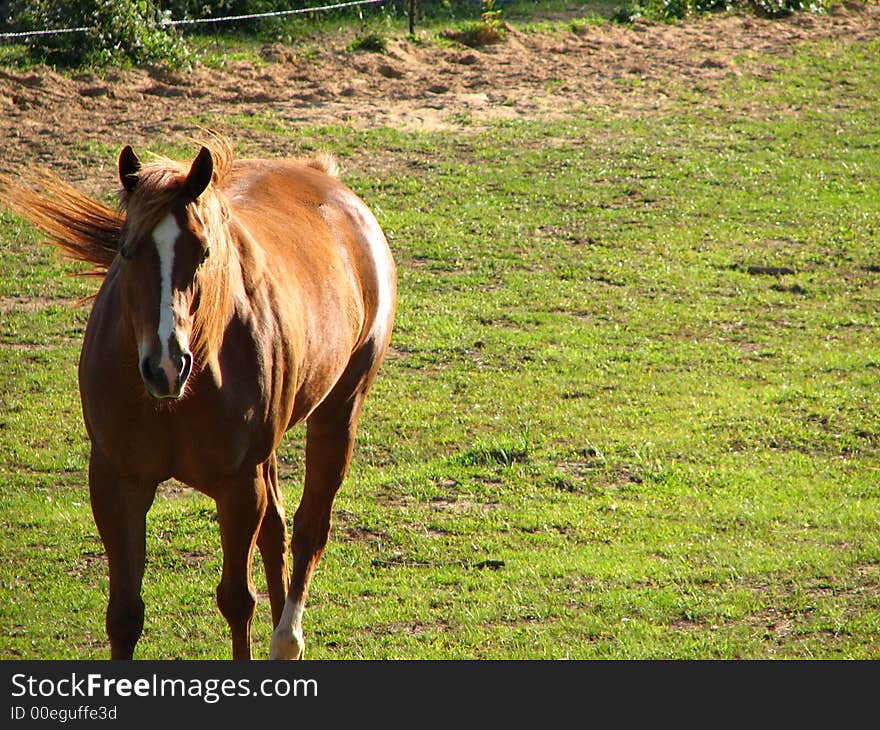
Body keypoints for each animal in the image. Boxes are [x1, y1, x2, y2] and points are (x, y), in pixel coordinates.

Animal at [0, 134, 398, 656]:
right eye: (127, 251)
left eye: (205, 252)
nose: (166, 366)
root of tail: (325, 181)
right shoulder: (116, 481)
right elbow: (124, 615)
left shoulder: (238, 486)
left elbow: (236, 600)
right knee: (277, 532)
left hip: (339, 411)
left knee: (310, 529)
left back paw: (287, 637)